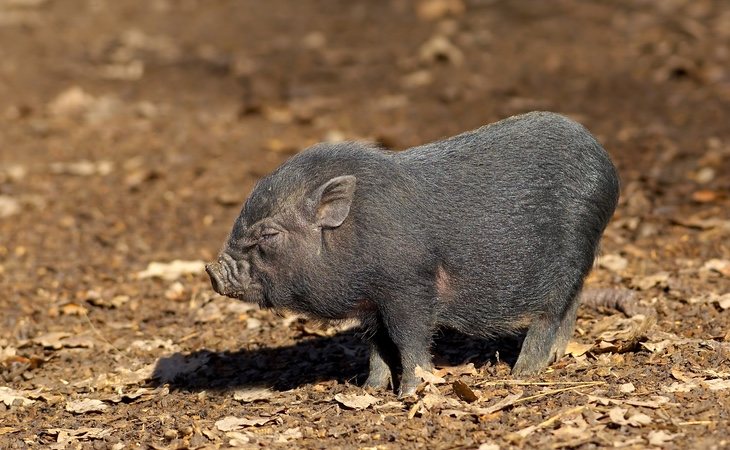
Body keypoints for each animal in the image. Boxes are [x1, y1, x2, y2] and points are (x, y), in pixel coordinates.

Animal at [206, 110, 620, 396]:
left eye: (268, 234)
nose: (212, 269)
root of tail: (608, 166)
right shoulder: (372, 302)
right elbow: (377, 347)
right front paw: (369, 390)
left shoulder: (408, 289)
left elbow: (409, 343)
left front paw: (409, 393)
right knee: (570, 309)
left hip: (569, 259)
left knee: (550, 315)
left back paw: (522, 373)